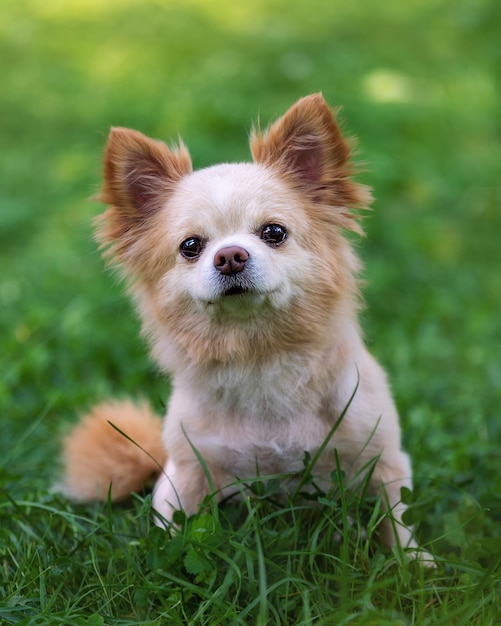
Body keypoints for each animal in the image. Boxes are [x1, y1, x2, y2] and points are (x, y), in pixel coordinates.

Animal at [58, 96, 426, 556]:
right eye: (191, 246)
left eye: (274, 232)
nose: (230, 256)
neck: (258, 353)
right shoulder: (187, 474)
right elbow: (177, 532)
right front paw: (168, 559)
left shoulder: (383, 459)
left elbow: (396, 522)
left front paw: (415, 565)